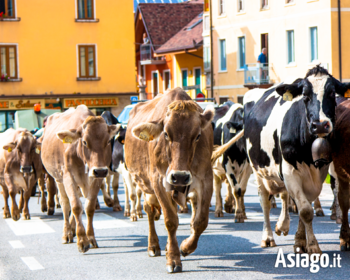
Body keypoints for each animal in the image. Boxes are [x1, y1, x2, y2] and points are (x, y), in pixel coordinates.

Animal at [41, 105, 119, 254]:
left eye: (107, 141)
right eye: (84, 142)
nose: (100, 170)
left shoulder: (96, 179)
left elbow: (89, 207)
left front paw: (90, 237)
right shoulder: (68, 177)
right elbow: (76, 206)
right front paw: (82, 240)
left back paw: (72, 230)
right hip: (58, 179)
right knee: (65, 204)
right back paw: (67, 233)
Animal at [124, 88, 215, 272]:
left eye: (198, 135)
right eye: (166, 133)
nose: (179, 176)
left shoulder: (206, 179)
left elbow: (201, 221)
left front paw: (185, 247)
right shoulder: (158, 180)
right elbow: (170, 220)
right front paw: (173, 259)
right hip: (146, 185)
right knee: (149, 210)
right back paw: (154, 245)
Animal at [242, 66, 350, 254]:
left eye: (332, 93)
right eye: (305, 96)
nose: (319, 125)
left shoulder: (318, 174)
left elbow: (303, 206)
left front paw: (300, 241)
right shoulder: (290, 171)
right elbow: (305, 210)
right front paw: (313, 246)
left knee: (285, 195)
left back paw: (283, 225)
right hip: (258, 170)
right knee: (264, 201)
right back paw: (268, 237)